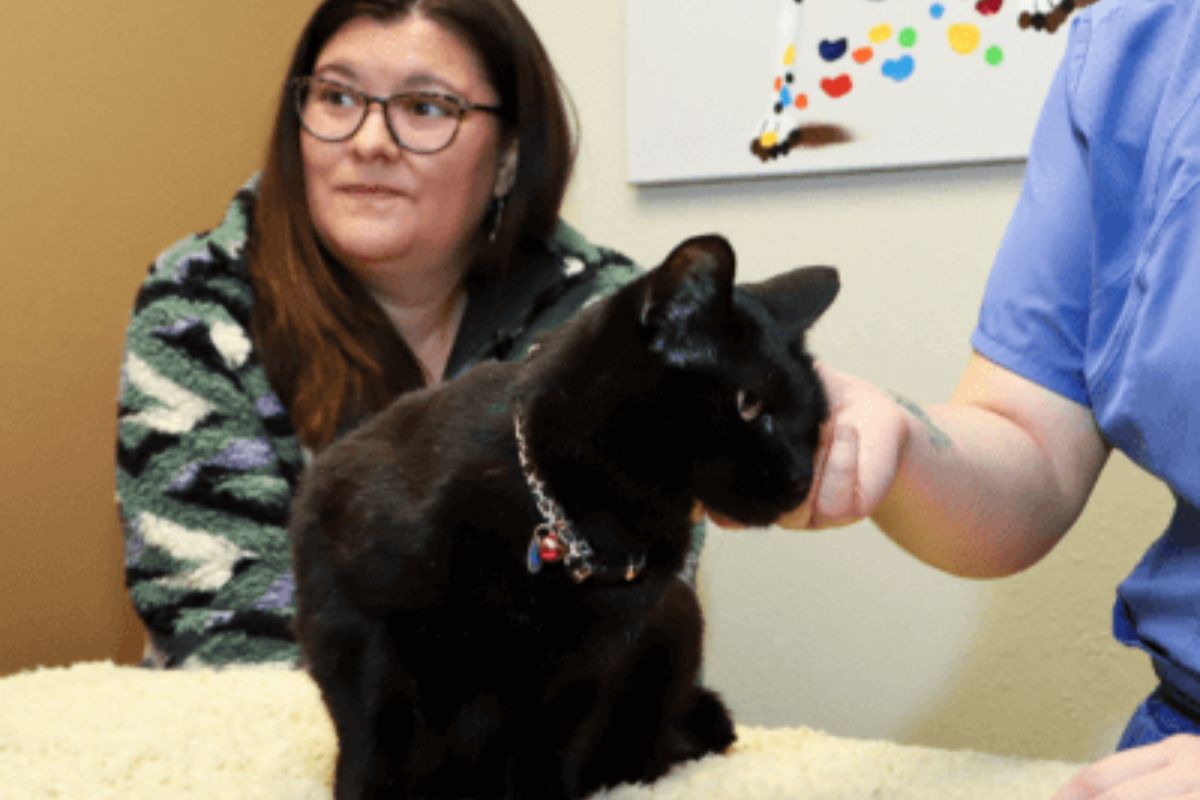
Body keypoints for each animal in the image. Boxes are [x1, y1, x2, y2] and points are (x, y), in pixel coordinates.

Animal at [288, 236, 835, 800]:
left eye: (816, 423)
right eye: (750, 405)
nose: (802, 477)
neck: (590, 527)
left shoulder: (585, 671)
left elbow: (549, 754)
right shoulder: (355, 621)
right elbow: (375, 732)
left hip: (679, 616)